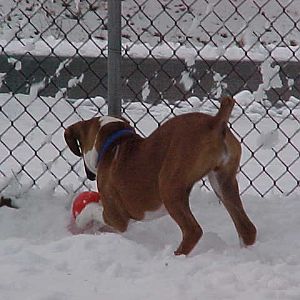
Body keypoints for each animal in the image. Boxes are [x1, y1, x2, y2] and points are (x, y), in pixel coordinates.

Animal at [64, 96, 256, 255]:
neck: (113, 144)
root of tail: (215, 121)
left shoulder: (116, 216)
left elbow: (91, 210)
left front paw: (80, 223)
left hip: (169, 187)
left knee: (193, 231)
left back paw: (176, 256)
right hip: (223, 182)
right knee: (247, 228)